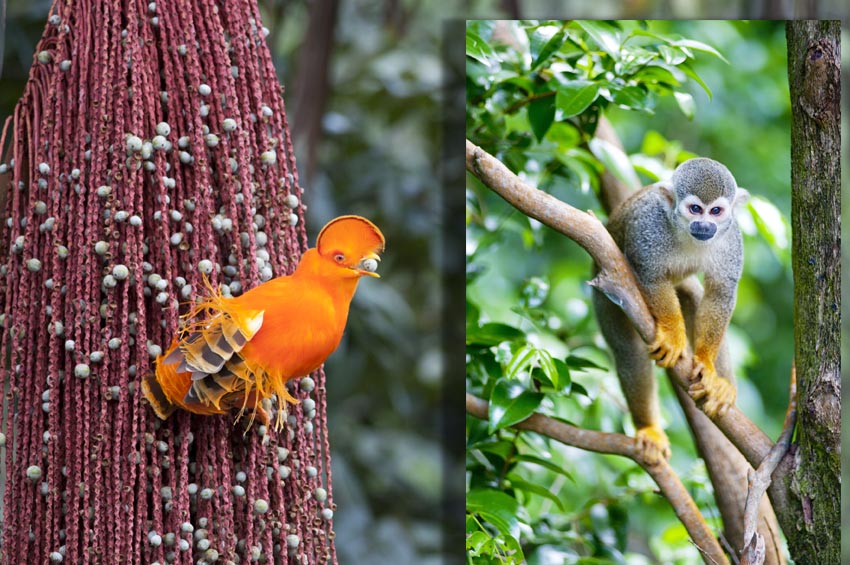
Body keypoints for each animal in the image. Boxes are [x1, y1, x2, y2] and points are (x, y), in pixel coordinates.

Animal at [592, 158, 744, 462]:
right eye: (695, 209)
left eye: (716, 211)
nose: (704, 225)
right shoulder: (649, 229)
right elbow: (652, 278)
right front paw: (673, 337)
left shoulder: (732, 240)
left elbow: (720, 293)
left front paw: (707, 365)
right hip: (604, 296)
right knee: (629, 351)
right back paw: (649, 428)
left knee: (695, 296)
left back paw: (722, 386)